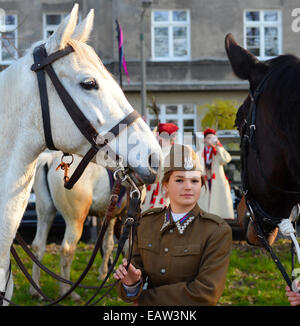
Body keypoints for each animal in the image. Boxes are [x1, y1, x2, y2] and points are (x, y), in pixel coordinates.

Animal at [29, 150, 145, 300]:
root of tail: (49, 159)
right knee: (67, 250)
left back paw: (35, 290)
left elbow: (108, 245)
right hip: (75, 220)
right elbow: (126, 246)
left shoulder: (110, 216)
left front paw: (103, 274)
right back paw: (67, 291)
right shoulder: (127, 216)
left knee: (38, 246)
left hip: (45, 213)